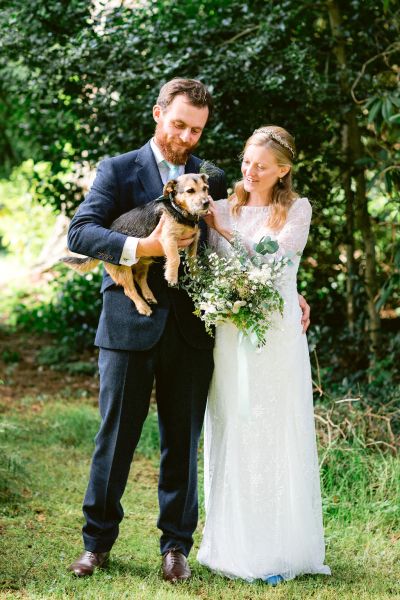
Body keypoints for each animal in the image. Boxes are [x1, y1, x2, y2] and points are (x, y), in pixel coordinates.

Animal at [61, 172, 211, 316]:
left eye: (205, 188)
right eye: (190, 190)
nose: (207, 203)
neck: (180, 211)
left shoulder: (193, 239)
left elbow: (193, 259)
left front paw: (196, 274)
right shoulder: (169, 238)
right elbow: (175, 258)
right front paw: (172, 276)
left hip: (142, 263)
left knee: (139, 278)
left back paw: (149, 296)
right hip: (123, 270)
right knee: (129, 290)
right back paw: (142, 307)